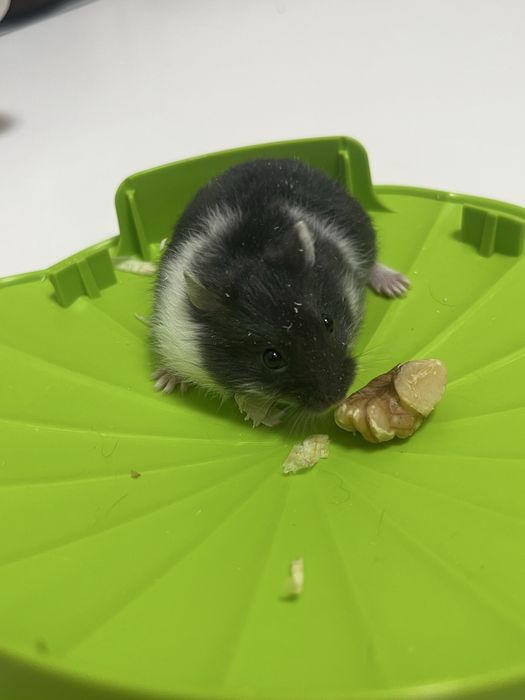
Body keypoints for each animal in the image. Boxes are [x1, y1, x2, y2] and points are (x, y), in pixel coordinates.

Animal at [151, 158, 409, 426]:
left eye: (329, 322)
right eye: (271, 358)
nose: (339, 395)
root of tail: (269, 158)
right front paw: (162, 384)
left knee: (372, 263)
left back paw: (398, 286)